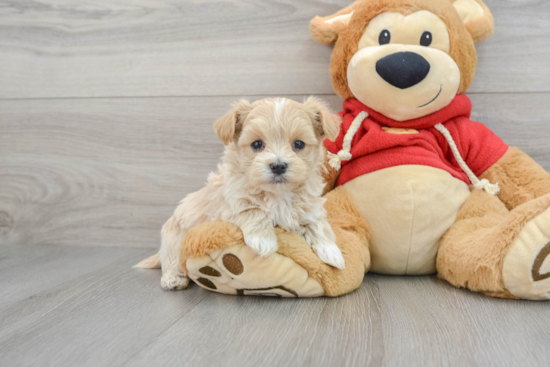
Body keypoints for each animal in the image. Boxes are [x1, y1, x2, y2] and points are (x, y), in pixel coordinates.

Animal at [136, 97, 348, 290]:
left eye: (299, 144)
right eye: (257, 144)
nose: (278, 166)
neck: (277, 194)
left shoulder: (309, 207)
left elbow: (318, 224)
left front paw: (333, 253)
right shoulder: (228, 206)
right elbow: (253, 210)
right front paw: (264, 241)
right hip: (174, 241)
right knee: (171, 262)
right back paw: (173, 279)